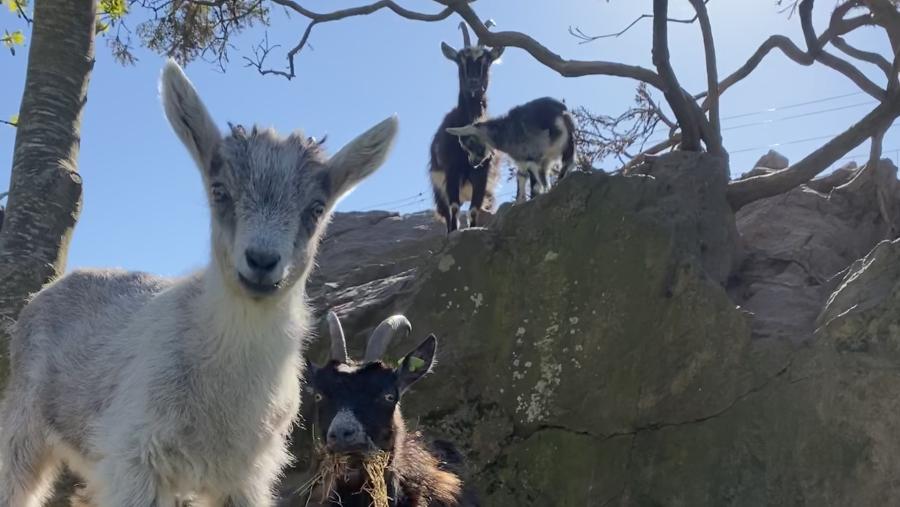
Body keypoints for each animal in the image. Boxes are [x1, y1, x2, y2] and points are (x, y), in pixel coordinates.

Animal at [0, 59, 398, 507]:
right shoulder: (135, 458)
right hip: (24, 429)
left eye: (316, 208)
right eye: (219, 191)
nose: (262, 261)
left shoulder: (246, 476)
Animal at [429, 22, 504, 233]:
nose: (473, 82)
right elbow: (454, 209)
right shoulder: (451, 172)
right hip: (439, 188)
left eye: (486, 61)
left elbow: (474, 210)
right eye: (460, 60)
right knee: (447, 212)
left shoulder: (483, 174)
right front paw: (454, 234)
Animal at [446, 96, 577, 203]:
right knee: (568, 163)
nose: (472, 163)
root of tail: (560, 113)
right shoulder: (525, 162)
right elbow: (521, 178)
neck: (503, 133)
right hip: (567, 144)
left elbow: (535, 184)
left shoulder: (531, 157)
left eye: (470, 143)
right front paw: (519, 202)